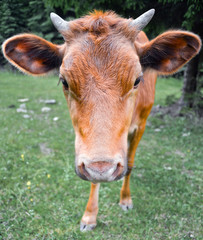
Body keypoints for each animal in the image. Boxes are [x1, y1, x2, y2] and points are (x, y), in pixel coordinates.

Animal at [2, 9, 201, 231]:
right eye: (64, 81)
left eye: (137, 80)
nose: (104, 168)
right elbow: (93, 178)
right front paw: (89, 217)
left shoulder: (141, 126)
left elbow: (130, 163)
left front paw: (125, 200)